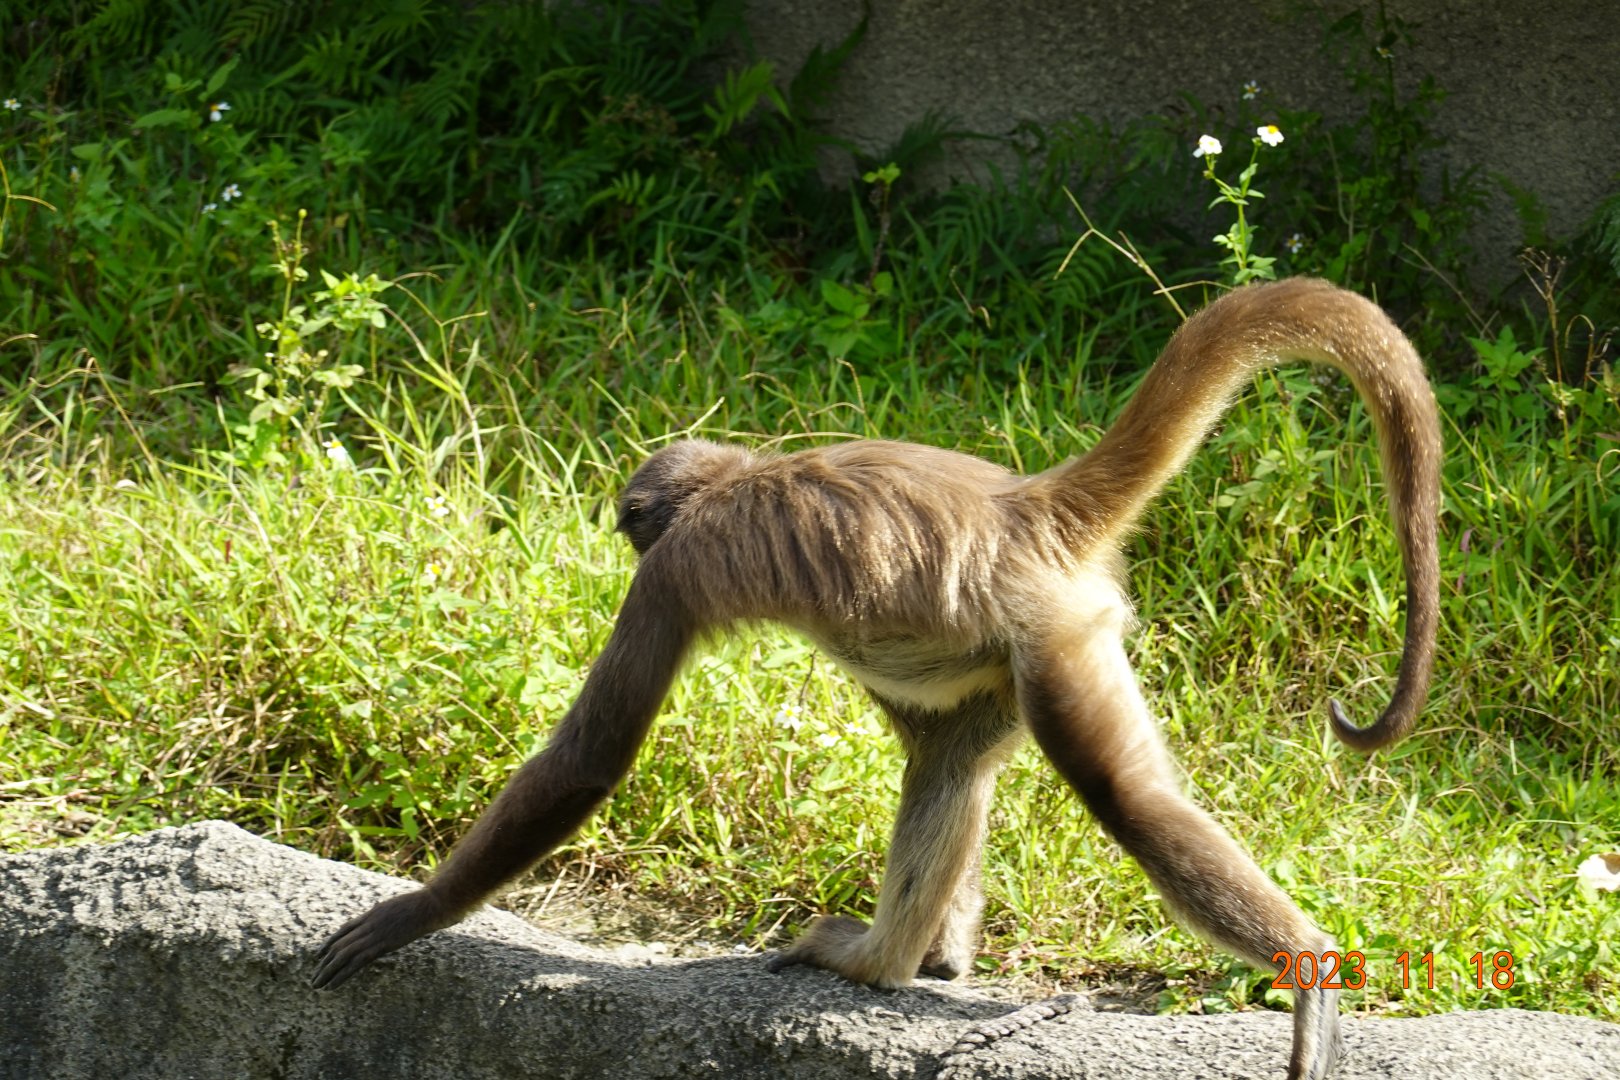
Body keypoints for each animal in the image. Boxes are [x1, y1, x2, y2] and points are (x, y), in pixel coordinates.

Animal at [313, 277, 1440, 1080]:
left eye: (636, 533)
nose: (625, 537)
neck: (739, 477)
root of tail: (1026, 503)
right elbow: (929, 738)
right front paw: (950, 947)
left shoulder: (672, 576)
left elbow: (591, 758)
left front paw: (411, 914)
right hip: (1033, 645)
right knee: (952, 761)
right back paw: (921, 959)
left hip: (1053, 631)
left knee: (1120, 794)